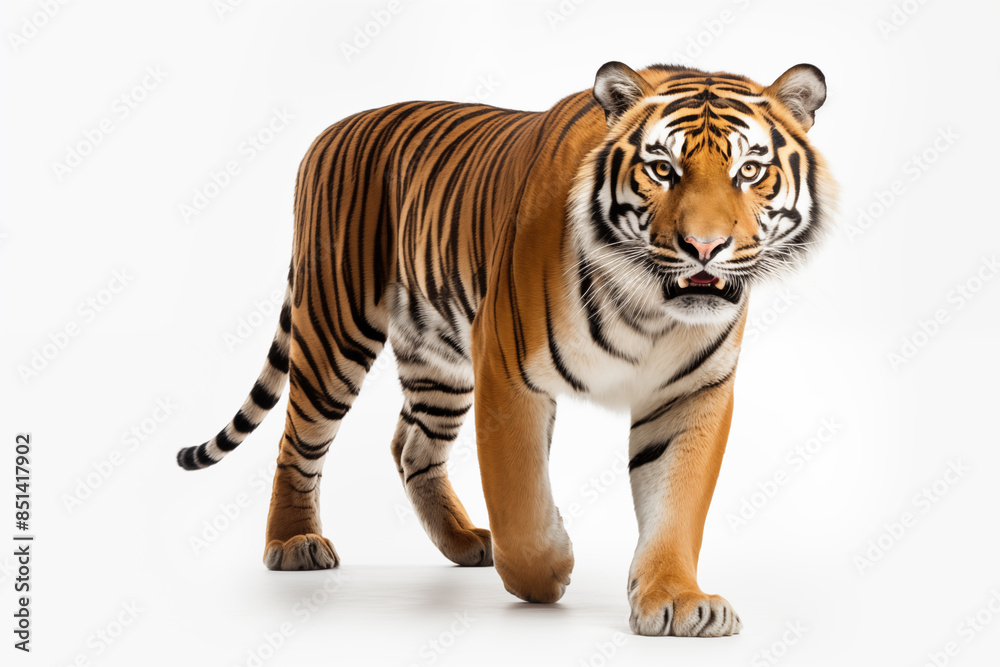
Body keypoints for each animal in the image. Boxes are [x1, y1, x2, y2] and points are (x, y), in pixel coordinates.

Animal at [177, 61, 834, 637]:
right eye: (662, 169)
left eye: (749, 171)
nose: (704, 247)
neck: (649, 306)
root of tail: (329, 130)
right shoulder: (508, 372)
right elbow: (519, 505)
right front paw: (548, 574)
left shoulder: (692, 393)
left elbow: (676, 505)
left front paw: (676, 601)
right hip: (334, 330)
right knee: (298, 441)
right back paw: (293, 544)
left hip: (437, 357)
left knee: (412, 445)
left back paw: (464, 541)